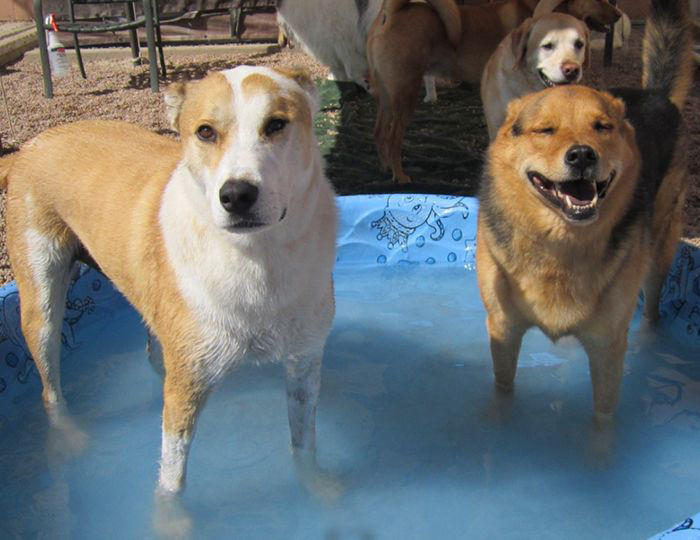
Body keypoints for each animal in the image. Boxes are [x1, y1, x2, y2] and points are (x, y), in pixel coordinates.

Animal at [0, 66, 340, 498]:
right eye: (206, 132)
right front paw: (171, 514)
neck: (256, 256)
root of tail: (26, 149)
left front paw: (315, 484)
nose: (237, 194)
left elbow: (304, 442)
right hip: (40, 306)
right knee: (49, 388)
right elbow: (171, 482)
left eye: (276, 124)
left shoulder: (304, 361)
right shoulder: (186, 384)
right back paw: (68, 437)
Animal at [476, 0, 696, 420]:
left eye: (602, 127)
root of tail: (655, 93)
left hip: (661, 249)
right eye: (545, 130)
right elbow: (502, 389)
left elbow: (603, 418)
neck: (559, 240)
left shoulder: (607, 344)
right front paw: (500, 422)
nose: (581, 155)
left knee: (652, 307)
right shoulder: (504, 330)